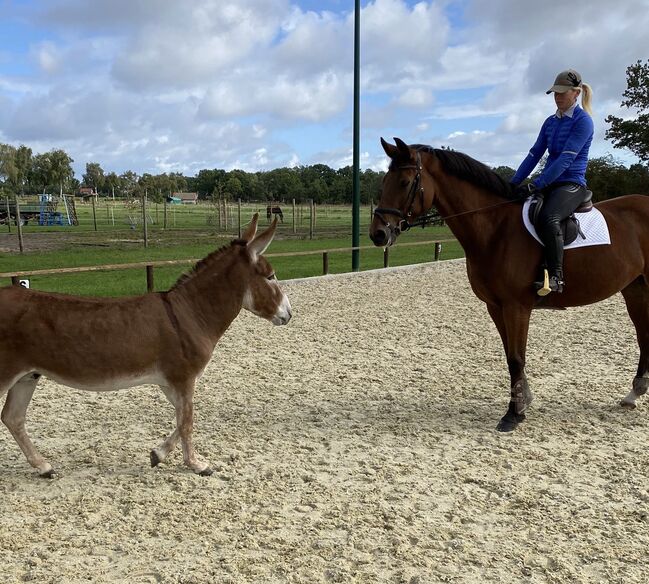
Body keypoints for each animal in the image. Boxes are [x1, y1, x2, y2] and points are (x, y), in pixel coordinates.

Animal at [0, 213, 292, 474]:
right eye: (270, 276)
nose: (289, 314)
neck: (190, 313)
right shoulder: (184, 378)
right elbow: (187, 421)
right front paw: (196, 465)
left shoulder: (169, 381)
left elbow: (182, 418)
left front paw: (158, 454)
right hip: (7, 374)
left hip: (27, 376)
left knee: (12, 417)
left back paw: (43, 467)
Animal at [370, 136, 648, 428]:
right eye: (384, 181)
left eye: (404, 182)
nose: (378, 234)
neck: (495, 228)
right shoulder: (495, 306)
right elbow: (509, 355)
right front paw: (523, 399)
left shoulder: (516, 307)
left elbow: (516, 358)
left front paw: (514, 414)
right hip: (635, 289)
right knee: (643, 334)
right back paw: (634, 393)